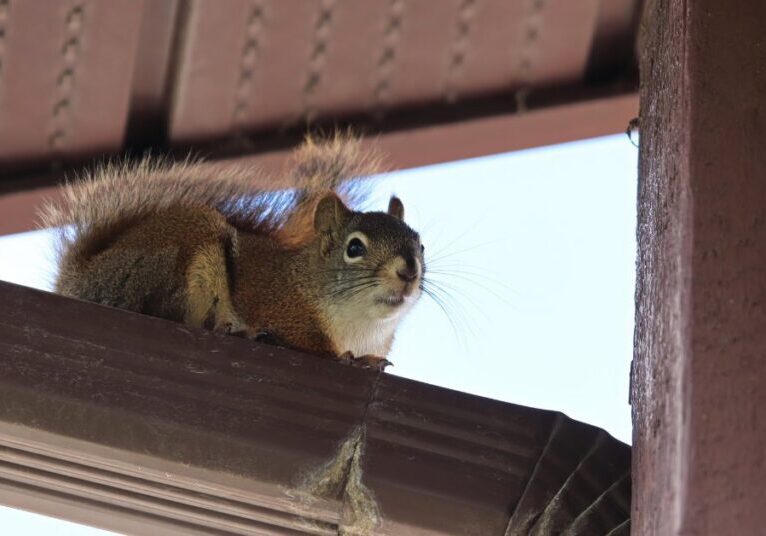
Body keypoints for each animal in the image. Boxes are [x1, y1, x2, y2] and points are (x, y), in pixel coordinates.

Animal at [41, 135, 425, 370]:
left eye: (420, 245)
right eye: (355, 247)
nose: (409, 270)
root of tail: (81, 280)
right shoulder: (284, 308)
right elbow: (312, 345)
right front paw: (351, 360)